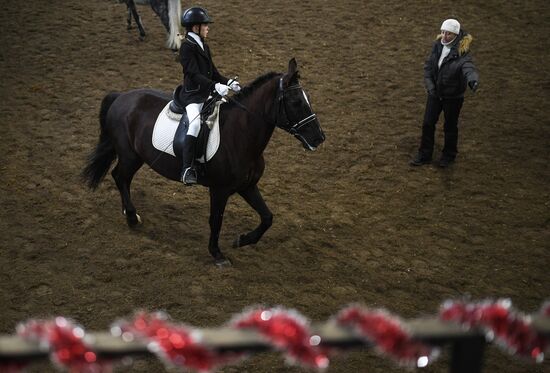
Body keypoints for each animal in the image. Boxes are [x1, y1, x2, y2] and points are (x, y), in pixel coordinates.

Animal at [81, 58, 324, 264]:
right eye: (296, 102)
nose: (319, 138)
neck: (240, 135)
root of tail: (121, 96)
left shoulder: (247, 186)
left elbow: (267, 217)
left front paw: (242, 240)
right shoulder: (219, 190)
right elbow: (216, 220)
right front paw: (217, 254)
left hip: (134, 156)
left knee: (121, 178)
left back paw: (128, 213)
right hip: (130, 155)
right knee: (120, 177)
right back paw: (131, 217)